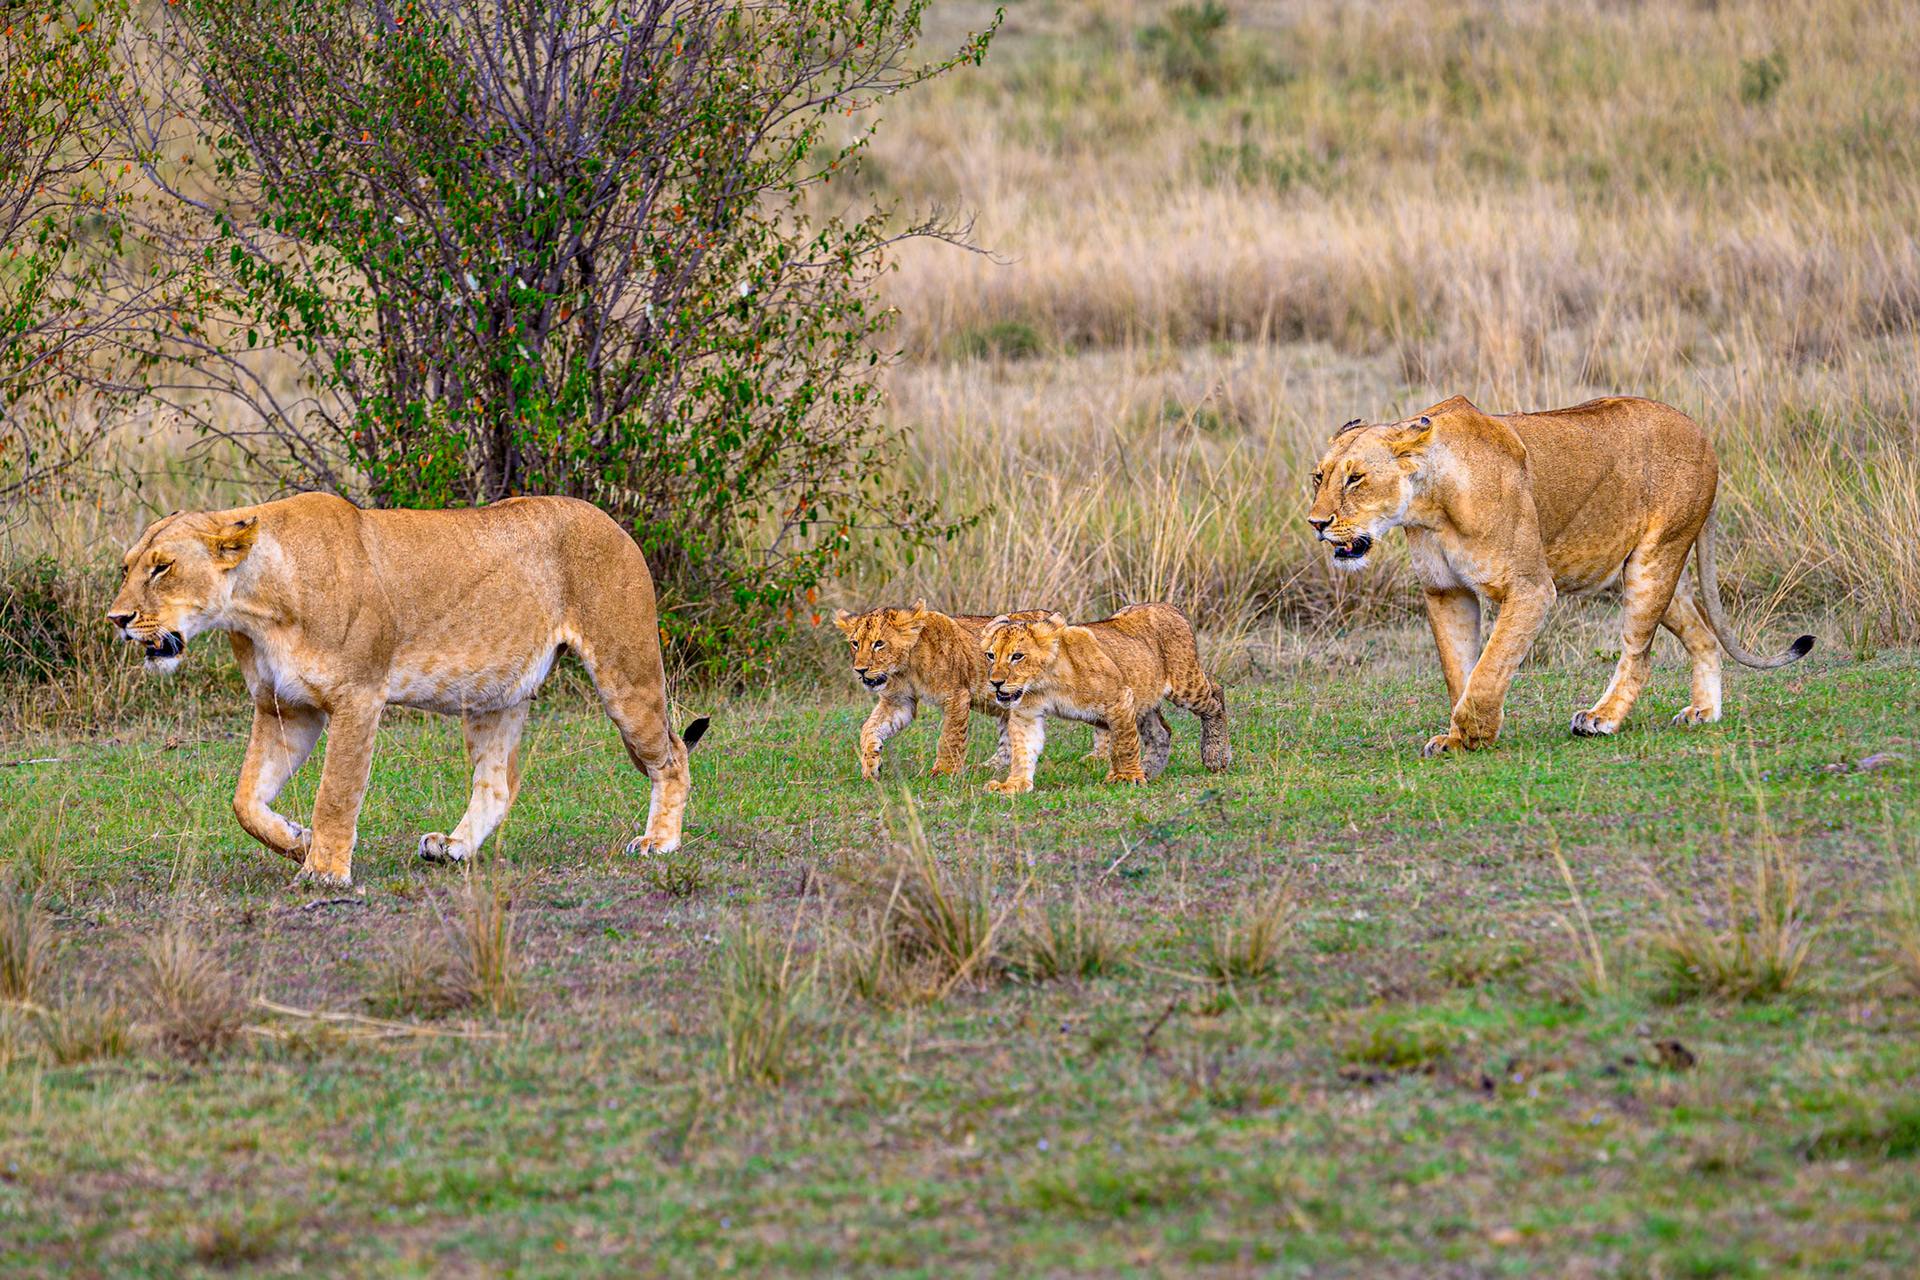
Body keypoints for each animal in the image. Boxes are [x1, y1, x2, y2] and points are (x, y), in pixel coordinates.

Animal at [106, 492, 707, 887]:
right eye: (127, 568)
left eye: (162, 568)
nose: (117, 618)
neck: (255, 609)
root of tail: (613, 522)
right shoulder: (285, 708)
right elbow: (244, 801)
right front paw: (298, 841)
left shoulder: (357, 697)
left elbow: (336, 792)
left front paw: (323, 871)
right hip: (494, 694)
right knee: (498, 783)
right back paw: (453, 847)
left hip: (625, 672)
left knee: (673, 754)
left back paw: (659, 842)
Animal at [833, 603, 1109, 779]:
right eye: (855, 643)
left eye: (879, 644)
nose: (860, 670)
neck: (905, 667)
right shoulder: (899, 701)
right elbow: (869, 729)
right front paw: (871, 765)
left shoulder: (955, 695)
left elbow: (949, 738)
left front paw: (944, 773)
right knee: (1008, 743)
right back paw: (986, 767)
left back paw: (1099, 758)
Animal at [978, 603, 1230, 794]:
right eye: (991, 655)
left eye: (1017, 656)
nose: (995, 682)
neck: (1043, 684)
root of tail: (1171, 607)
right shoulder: (1026, 715)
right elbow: (1022, 750)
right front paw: (1014, 785)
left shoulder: (1120, 699)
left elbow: (1122, 744)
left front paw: (1126, 777)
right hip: (1144, 696)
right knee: (1161, 732)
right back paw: (1149, 770)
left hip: (1185, 684)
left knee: (1216, 696)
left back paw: (1216, 756)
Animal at [1306, 395, 1813, 756]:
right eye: (1319, 477)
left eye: (1355, 478)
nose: (1317, 523)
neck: (1429, 507)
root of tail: (1701, 431)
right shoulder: (1445, 591)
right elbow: (1459, 670)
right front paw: (1456, 737)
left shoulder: (1531, 589)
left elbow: (1489, 668)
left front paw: (1474, 732)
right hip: (1644, 569)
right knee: (1705, 636)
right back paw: (1704, 712)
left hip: (1654, 561)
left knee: (1638, 654)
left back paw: (1602, 718)